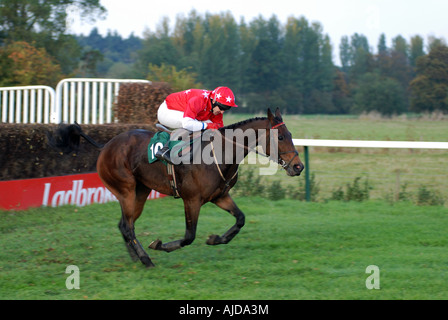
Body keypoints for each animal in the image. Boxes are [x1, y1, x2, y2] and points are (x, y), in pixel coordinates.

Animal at [49, 107, 304, 268]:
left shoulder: (220, 196)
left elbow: (240, 219)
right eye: (281, 137)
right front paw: (160, 245)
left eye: (291, 133)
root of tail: (106, 146)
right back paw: (146, 259)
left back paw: (136, 257)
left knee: (124, 225)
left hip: (141, 191)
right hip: (126, 190)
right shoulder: (191, 200)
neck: (220, 154)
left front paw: (215, 239)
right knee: (128, 227)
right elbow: (189, 236)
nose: (298, 166)